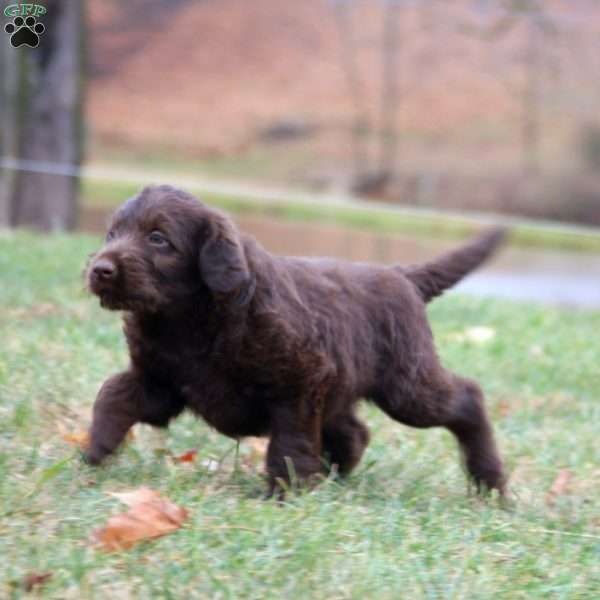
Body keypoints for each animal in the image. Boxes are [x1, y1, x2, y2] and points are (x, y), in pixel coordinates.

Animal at [84, 186, 506, 496]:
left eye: (158, 239)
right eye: (112, 233)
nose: (100, 269)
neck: (189, 319)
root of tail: (402, 276)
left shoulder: (300, 380)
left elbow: (290, 442)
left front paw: (285, 493)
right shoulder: (158, 381)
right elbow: (113, 396)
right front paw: (93, 453)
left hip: (407, 387)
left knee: (467, 398)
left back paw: (490, 483)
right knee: (354, 432)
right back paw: (336, 477)